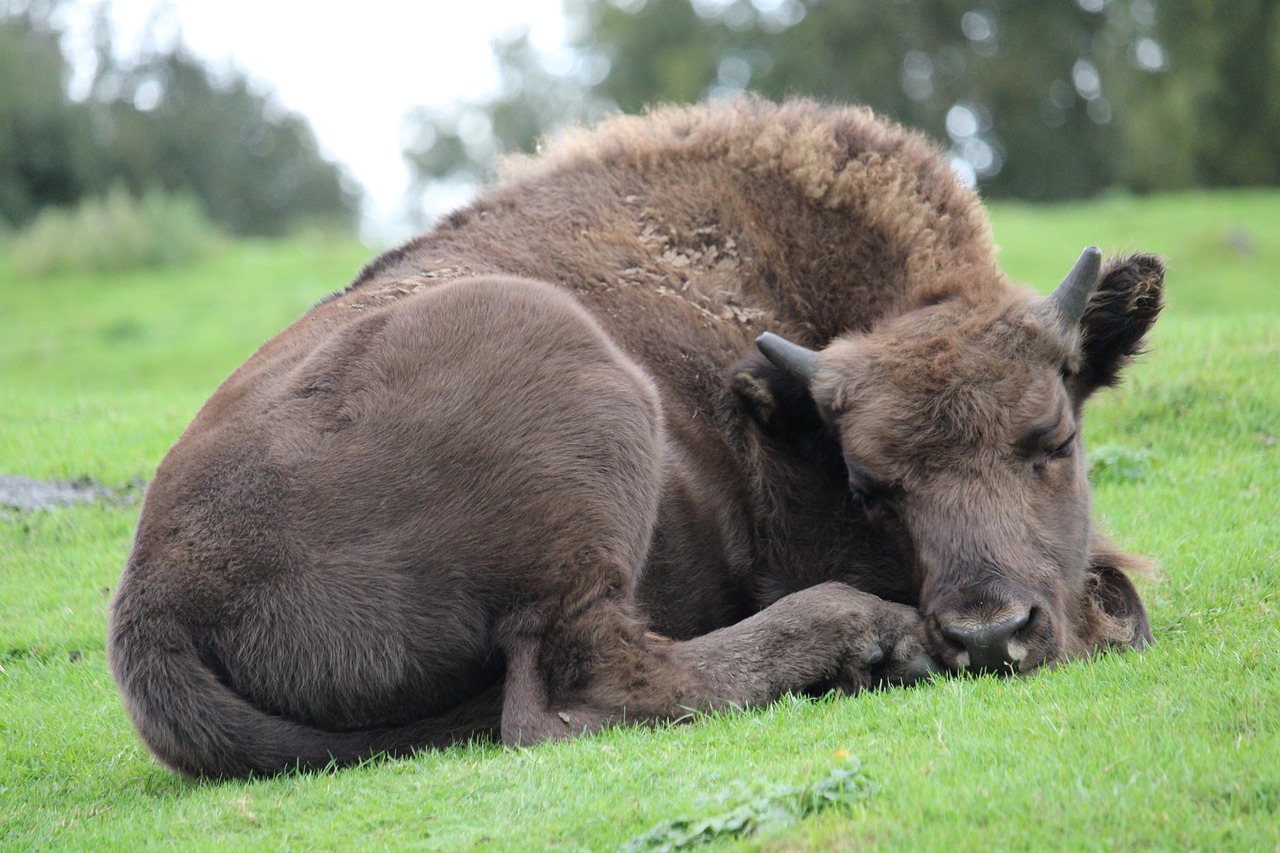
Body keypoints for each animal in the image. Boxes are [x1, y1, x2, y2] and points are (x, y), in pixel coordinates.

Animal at [115, 97, 1167, 778]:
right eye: (870, 485)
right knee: (579, 689)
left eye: (1054, 438)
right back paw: (871, 639)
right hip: (574, 391)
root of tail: (150, 606)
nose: (988, 632)